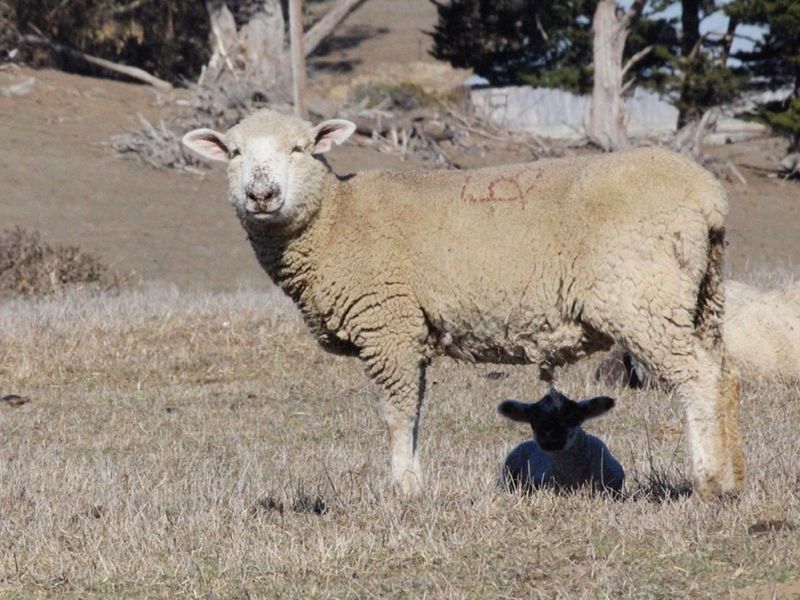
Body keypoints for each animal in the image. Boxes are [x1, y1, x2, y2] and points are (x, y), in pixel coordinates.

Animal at [182, 109, 744, 499]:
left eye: (298, 148)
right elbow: (415, 410)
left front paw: (403, 490)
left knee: (696, 379)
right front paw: (413, 482)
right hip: (700, 295)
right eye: (234, 153)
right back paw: (734, 479)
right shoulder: (409, 329)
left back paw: (708, 483)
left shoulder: (387, 324)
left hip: (643, 295)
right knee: (722, 374)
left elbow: (396, 413)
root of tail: (708, 196)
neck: (335, 221)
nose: (261, 193)